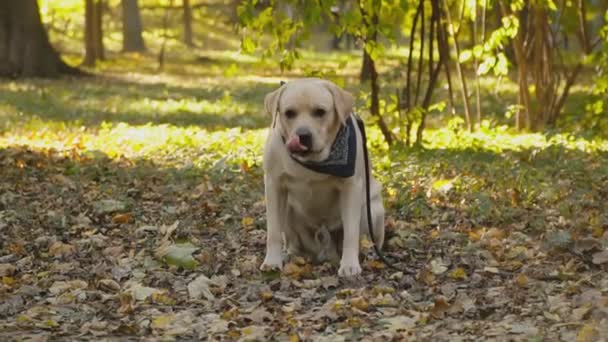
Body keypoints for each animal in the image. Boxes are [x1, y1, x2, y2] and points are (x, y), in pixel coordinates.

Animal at [258, 78, 382, 278]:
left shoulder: (351, 187)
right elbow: (274, 231)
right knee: (293, 242)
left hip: (372, 210)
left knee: (367, 240)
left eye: (320, 112)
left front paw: (349, 264)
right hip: (289, 210)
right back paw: (292, 255)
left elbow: (351, 232)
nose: (303, 135)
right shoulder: (273, 185)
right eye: (289, 113)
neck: (313, 162)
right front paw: (272, 261)